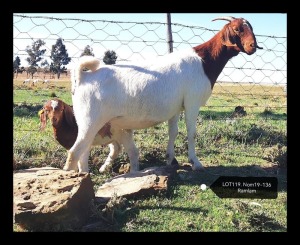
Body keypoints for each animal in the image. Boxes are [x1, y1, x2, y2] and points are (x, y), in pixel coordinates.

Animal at [64, 16, 262, 172]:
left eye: (251, 28)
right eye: (237, 28)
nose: (252, 46)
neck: (204, 61)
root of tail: (84, 77)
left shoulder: (176, 107)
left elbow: (173, 132)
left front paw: (171, 159)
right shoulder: (192, 102)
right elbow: (191, 132)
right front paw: (196, 163)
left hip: (89, 122)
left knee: (84, 151)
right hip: (90, 120)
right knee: (75, 152)